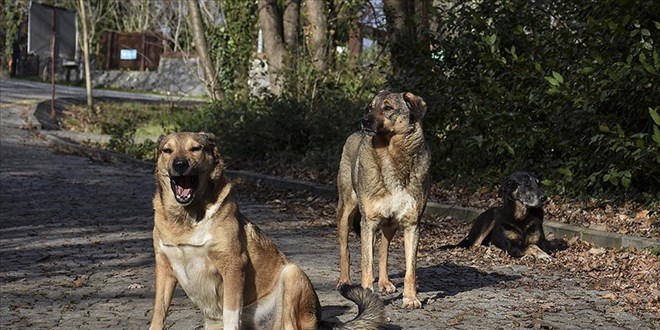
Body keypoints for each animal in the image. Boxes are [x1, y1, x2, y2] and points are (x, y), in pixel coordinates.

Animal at [147, 132, 384, 330]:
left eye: (195, 148)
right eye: (167, 150)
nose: (179, 164)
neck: (186, 219)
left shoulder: (233, 266)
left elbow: (231, 315)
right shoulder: (164, 269)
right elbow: (159, 313)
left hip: (291, 275)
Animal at [336, 91, 434, 310]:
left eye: (388, 108)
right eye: (370, 107)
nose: (364, 120)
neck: (392, 155)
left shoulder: (412, 224)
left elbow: (410, 269)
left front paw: (410, 298)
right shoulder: (369, 222)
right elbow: (366, 264)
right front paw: (366, 295)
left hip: (390, 225)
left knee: (383, 250)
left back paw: (384, 282)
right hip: (346, 213)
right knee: (345, 249)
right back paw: (344, 282)